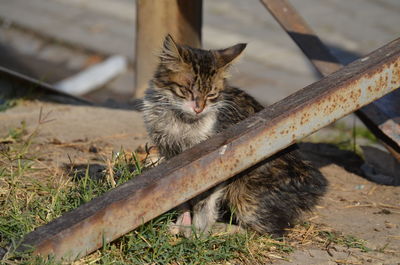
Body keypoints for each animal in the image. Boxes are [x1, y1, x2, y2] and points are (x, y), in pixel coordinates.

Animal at [142, 34, 326, 235]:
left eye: (211, 95)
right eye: (187, 90)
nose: (199, 108)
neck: (181, 121)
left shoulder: (214, 164)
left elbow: (203, 202)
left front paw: (198, 231)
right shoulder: (170, 156)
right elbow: (179, 196)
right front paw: (182, 222)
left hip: (247, 191)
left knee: (265, 230)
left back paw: (220, 230)